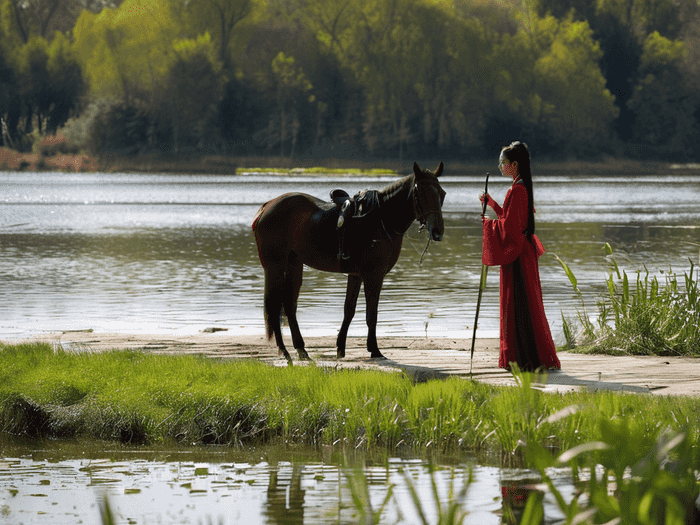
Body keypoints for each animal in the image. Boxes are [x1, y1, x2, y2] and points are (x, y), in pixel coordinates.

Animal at [253, 162, 448, 362]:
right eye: (421, 193)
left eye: (442, 193)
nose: (437, 231)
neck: (381, 218)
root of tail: (265, 208)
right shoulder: (373, 275)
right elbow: (372, 314)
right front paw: (374, 349)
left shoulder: (356, 275)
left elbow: (349, 310)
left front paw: (340, 347)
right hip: (275, 266)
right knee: (275, 306)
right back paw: (284, 351)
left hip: (294, 264)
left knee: (289, 305)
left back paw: (301, 349)